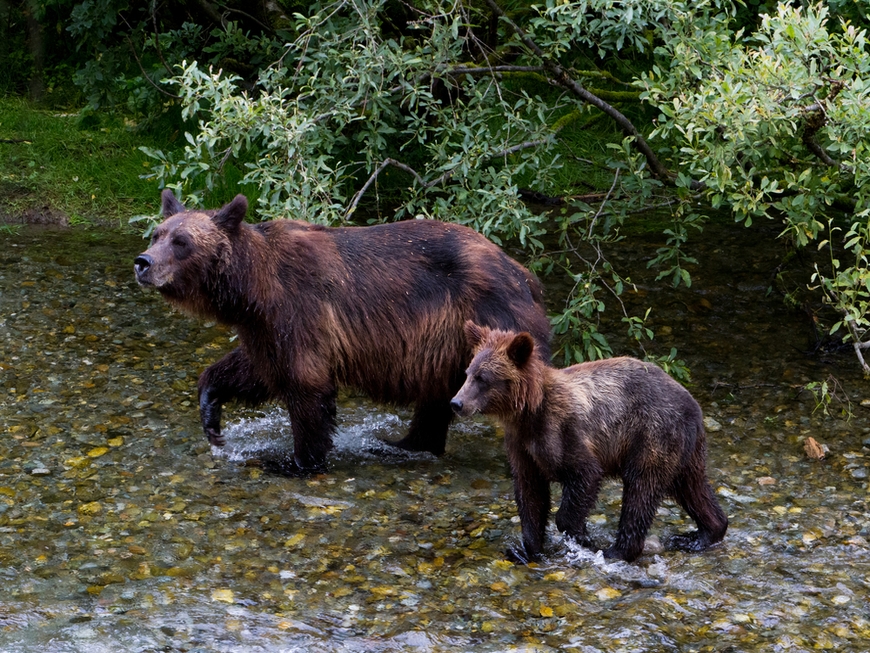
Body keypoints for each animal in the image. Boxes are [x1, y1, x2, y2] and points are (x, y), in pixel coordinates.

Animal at [135, 190, 552, 474]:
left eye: (181, 241)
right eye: (156, 234)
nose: (143, 262)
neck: (254, 289)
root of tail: (525, 275)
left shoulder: (300, 308)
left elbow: (305, 383)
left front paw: (296, 461)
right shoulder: (264, 327)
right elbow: (256, 369)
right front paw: (211, 413)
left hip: (492, 320)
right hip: (449, 345)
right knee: (436, 398)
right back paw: (402, 445)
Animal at [450, 320, 728, 560]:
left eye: (483, 378)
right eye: (468, 372)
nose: (456, 403)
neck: (529, 413)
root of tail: (692, 404)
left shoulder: (564, 431)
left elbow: (584, 475)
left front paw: (580, 535)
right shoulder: (522, 446)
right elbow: (530, 494)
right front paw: (526, 550)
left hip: (653, 435)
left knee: (641, 490)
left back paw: (618, 551)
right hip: (686, 450)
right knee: (692, 488)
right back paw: (703, 534)